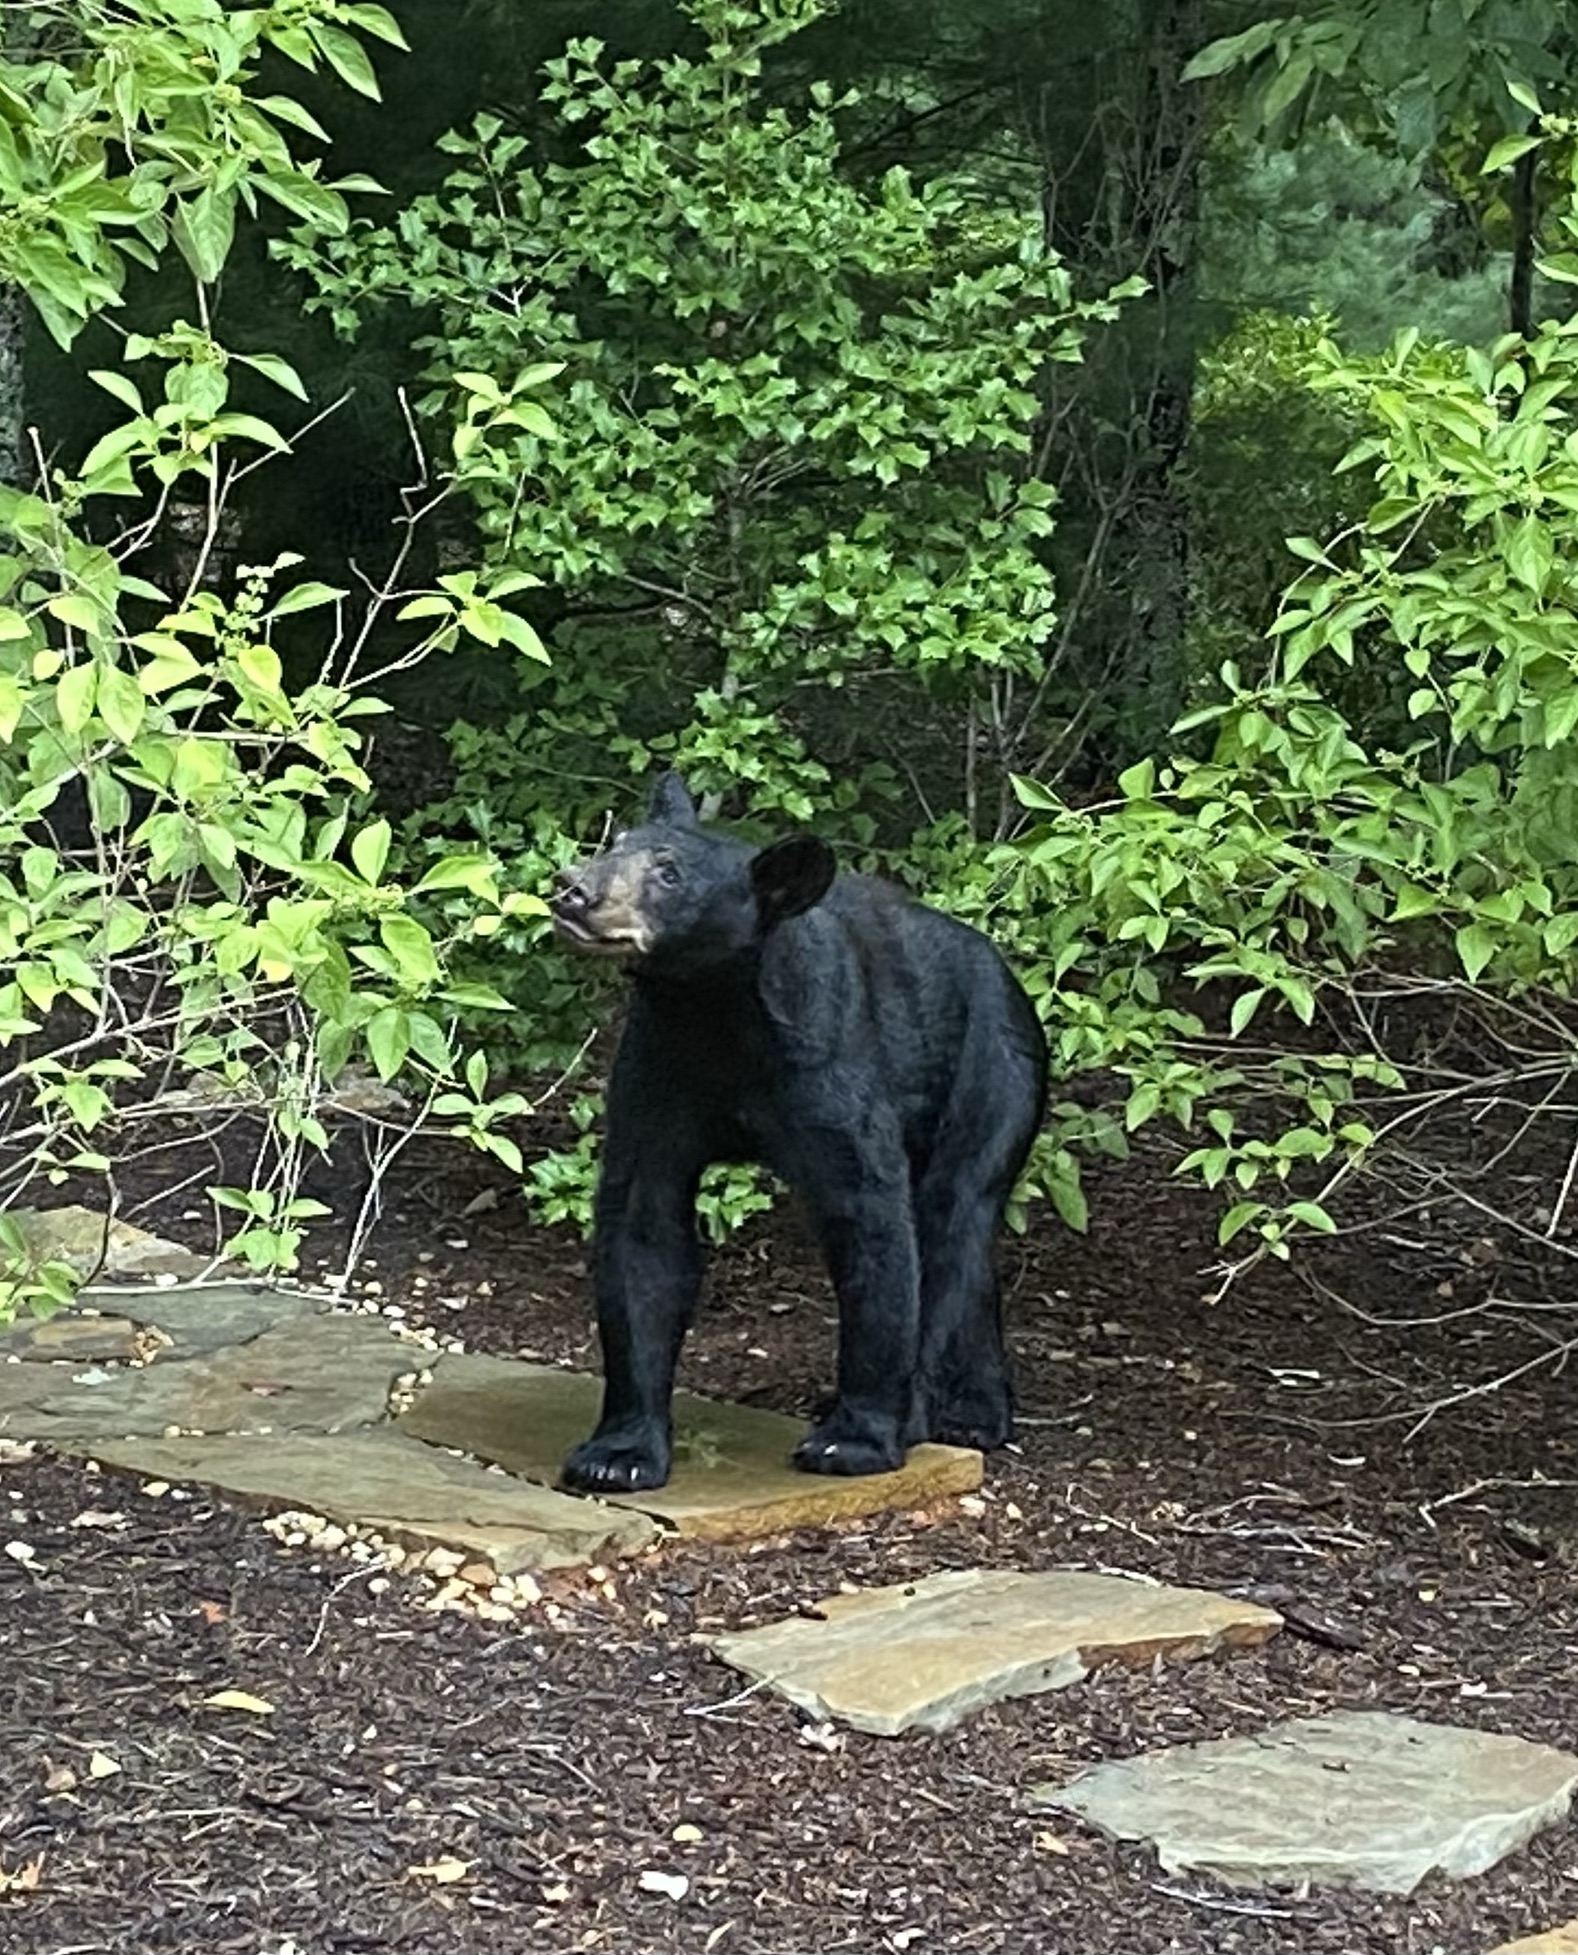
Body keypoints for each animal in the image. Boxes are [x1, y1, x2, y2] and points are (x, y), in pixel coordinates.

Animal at [549, 771, 1047, 1493]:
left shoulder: (827, 1068)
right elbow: (642, 1233)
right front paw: (618, 1452)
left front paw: (855, 1438)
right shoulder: (657, 1071)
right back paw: (978, 1410)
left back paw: (939, 1412)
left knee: (954, 1221)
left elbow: (871, 1222)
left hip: (994, 1068)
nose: (573, 888)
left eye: (669, 873)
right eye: (615, 844)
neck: (714, 1009)